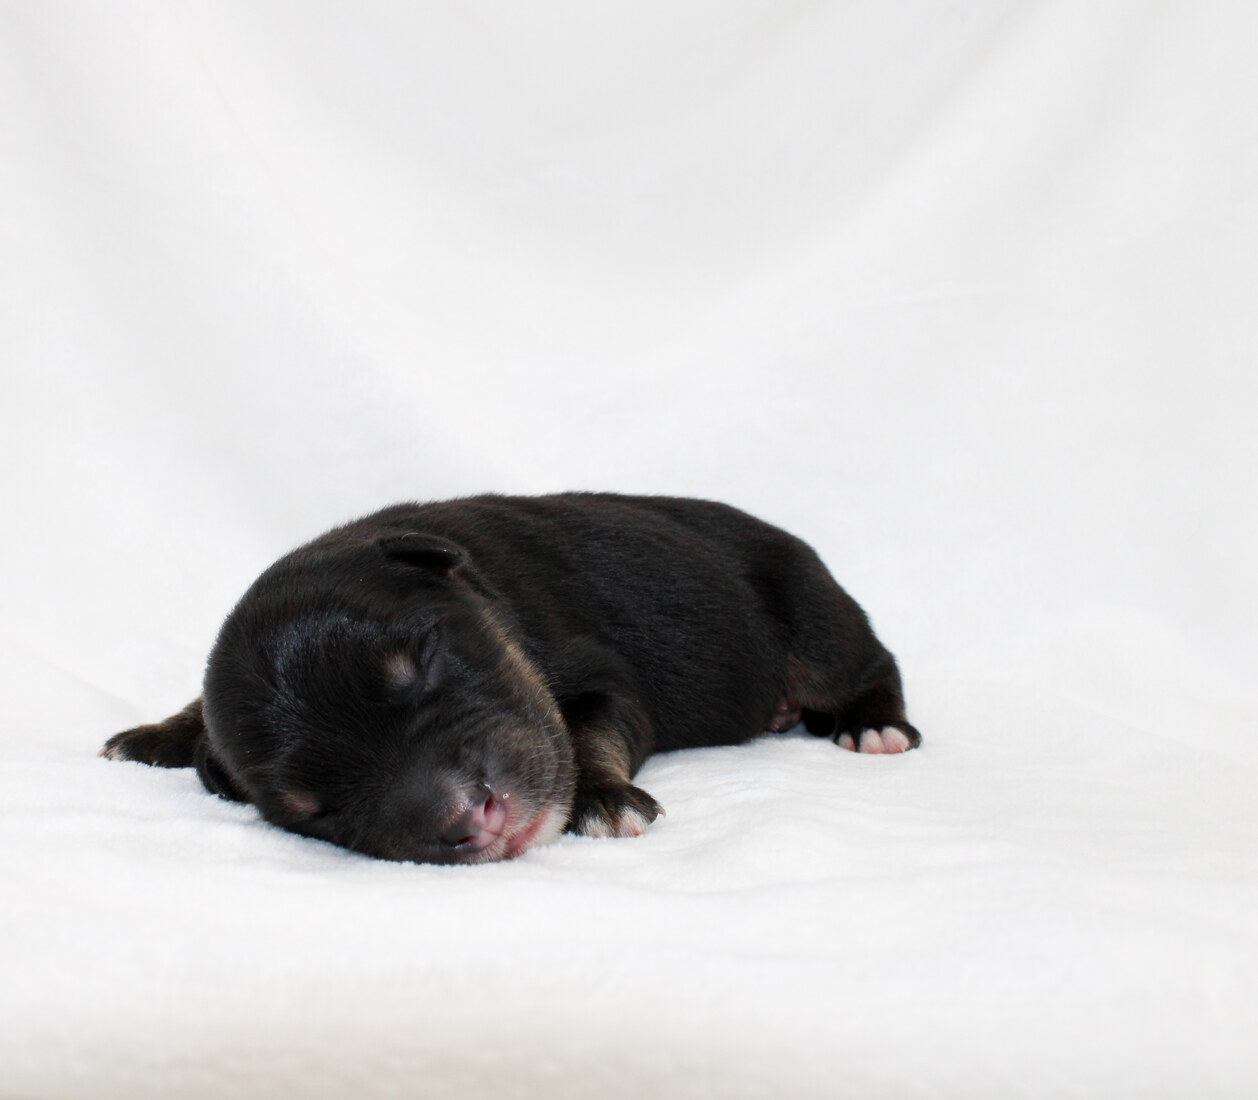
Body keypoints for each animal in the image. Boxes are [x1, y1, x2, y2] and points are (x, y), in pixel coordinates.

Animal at [102, 493, 921, 863]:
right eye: (314, 808)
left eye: (426, 659)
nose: (477, 817)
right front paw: (157, 734)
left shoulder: (603, 676)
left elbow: (587, 729)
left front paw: (602, 798)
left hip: (812, 613)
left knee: (870, 661)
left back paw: (875, 725)